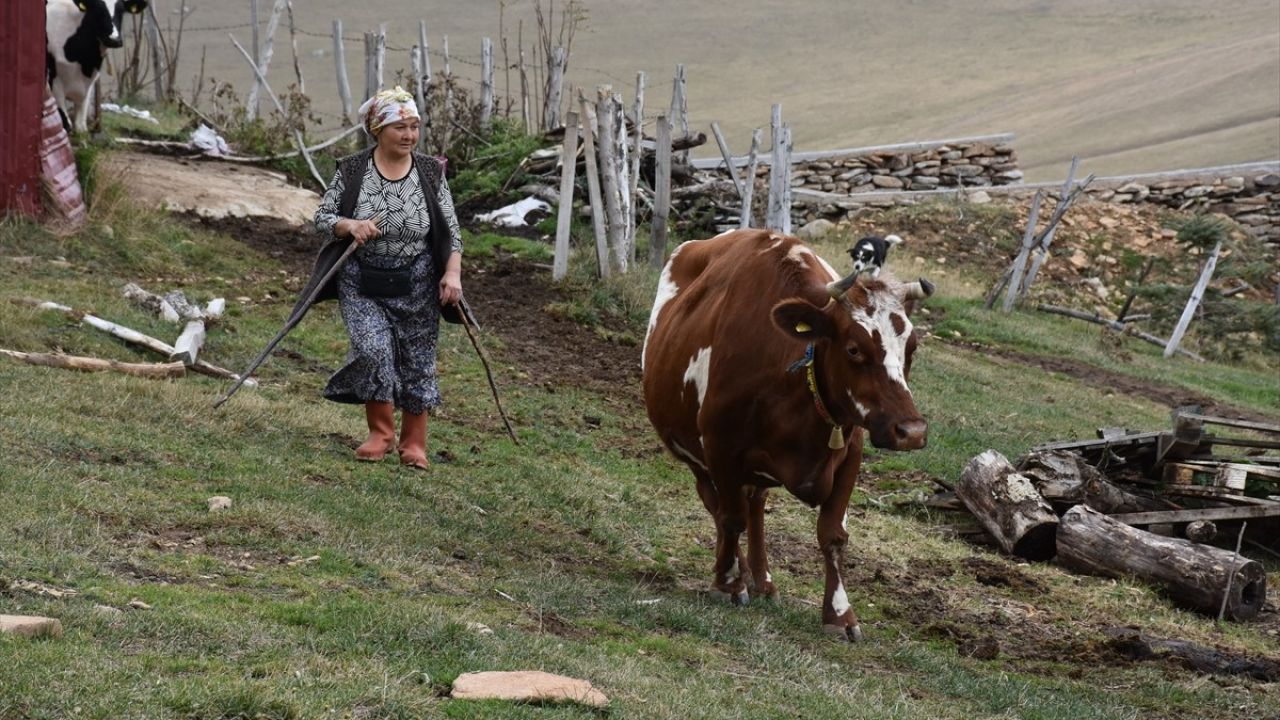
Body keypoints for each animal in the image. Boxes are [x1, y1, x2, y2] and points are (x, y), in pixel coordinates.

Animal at [46, 0, 147, 131]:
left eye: (121, 11)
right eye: (99, 9)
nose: (114, 39)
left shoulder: (87, 88)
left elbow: (80, 127)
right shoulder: (55, 84)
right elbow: (65, 124)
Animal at [640, 228, 931, 638]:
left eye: (912, 348)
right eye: (854, 349)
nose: (912, 431)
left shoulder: (850, 453)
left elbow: (832, 535)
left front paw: (840, 615)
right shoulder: (720, 447)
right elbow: (731, 517)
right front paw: (728, 583)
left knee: (755, 505)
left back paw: (762, 580)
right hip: (693, 454)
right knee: (718, 506)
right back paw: (737, 573)